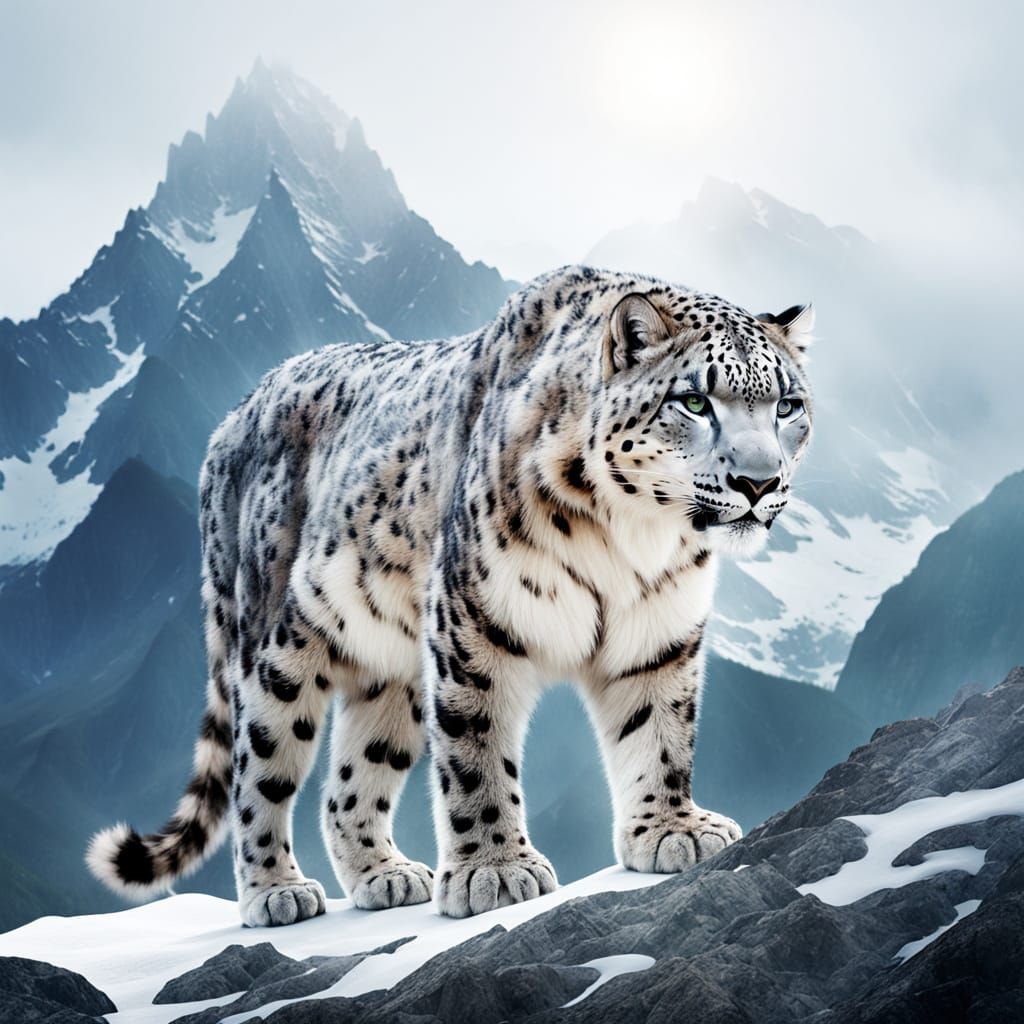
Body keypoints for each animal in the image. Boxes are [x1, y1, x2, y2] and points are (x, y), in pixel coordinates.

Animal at [87, 265, 814, 926]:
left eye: (788, 406)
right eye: (695, 401)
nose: (759, 482)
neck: (634, 542)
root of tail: (232, 420)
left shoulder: (659, 631)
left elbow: (660, 732)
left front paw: (672, 830)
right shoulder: (475, 622)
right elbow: (476, 751)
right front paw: (495, 871)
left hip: (391, 670)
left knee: (350, 780)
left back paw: (386, 876)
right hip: (276, 647)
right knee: (256, 767)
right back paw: (276, 891)